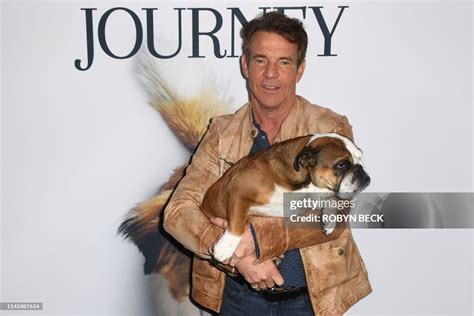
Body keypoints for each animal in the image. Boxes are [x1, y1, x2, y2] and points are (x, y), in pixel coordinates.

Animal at [200, 133, 370, 262]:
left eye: (361, 159)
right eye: (341, 164)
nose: (362, 170)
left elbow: (332, 200)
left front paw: (329, 221)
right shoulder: (239, 190)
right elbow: (237, 225)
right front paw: (225, 247)